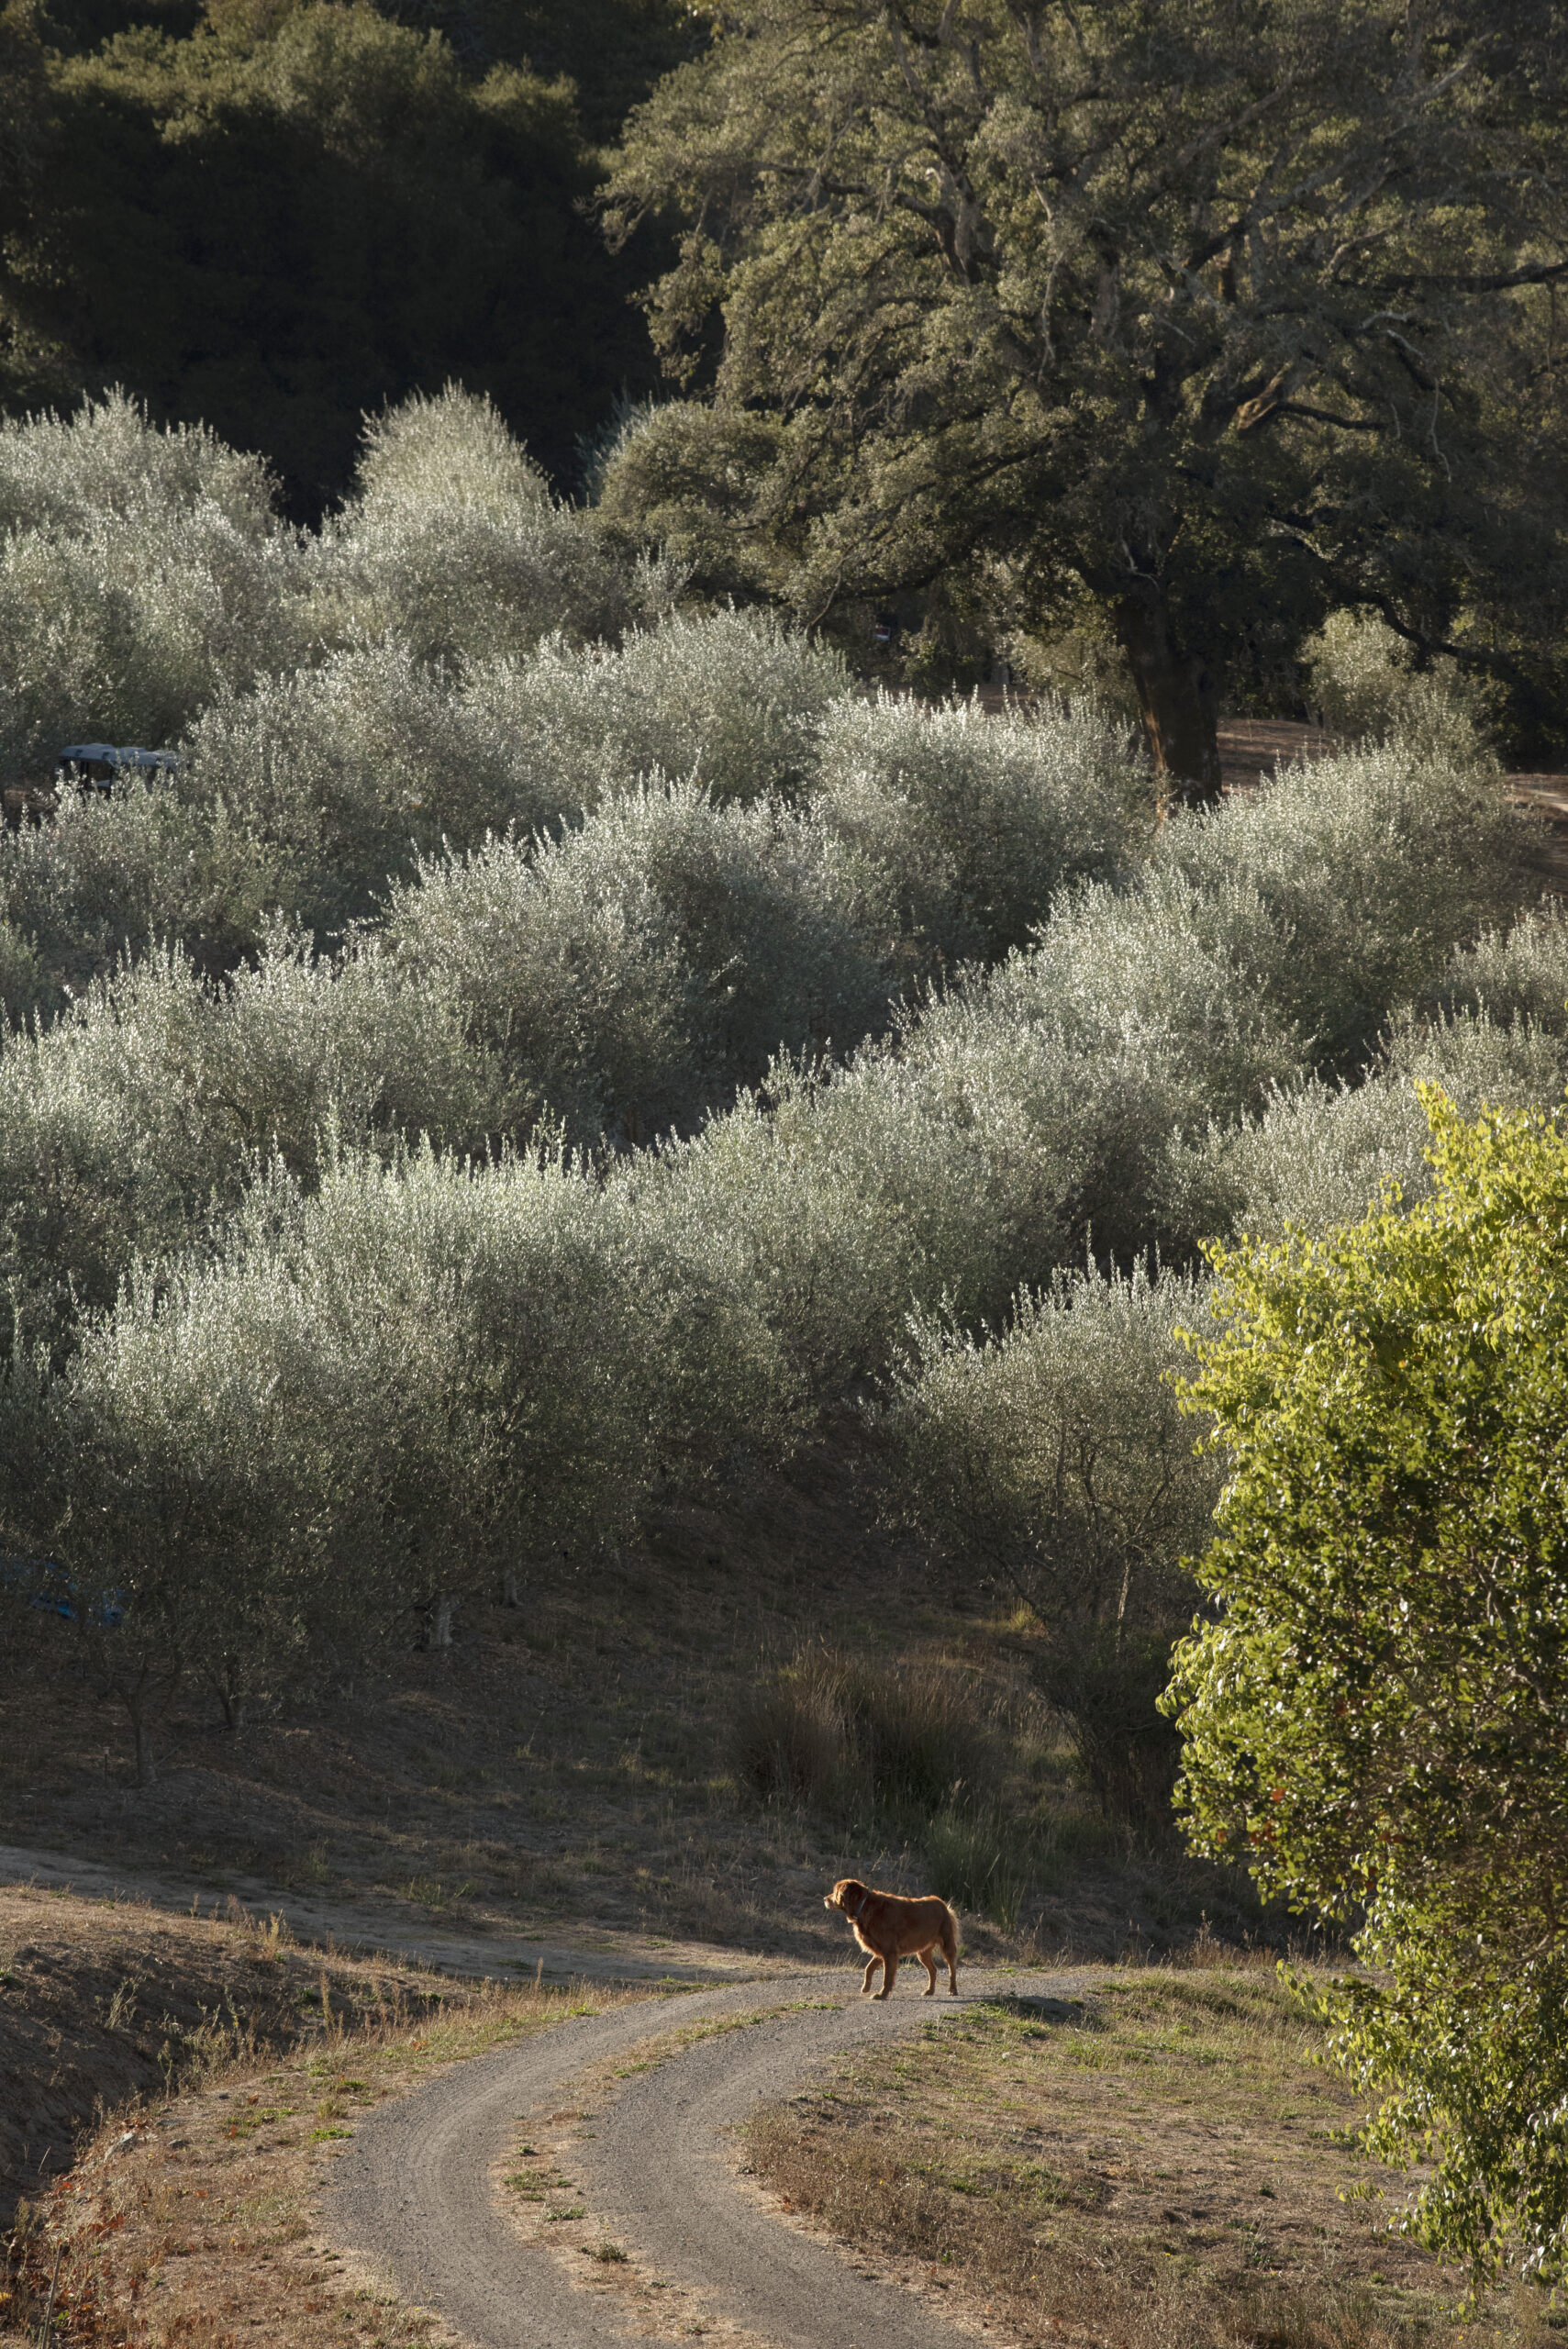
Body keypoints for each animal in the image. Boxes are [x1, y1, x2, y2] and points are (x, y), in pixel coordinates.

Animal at [821, 1879, 957, 1991]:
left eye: (835, 1892)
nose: (824, 1899)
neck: (864, 1906)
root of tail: (942, 1903)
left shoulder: (889, 1951)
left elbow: (887, 1976)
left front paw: (881, 1994)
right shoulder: (880, 1949)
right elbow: (868, 1968)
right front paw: (866, 1987)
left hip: (947, 1945)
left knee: (952, 1969)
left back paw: (952, 1990)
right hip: (922, 1951)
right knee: (933, 1969)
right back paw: (929, 1991)